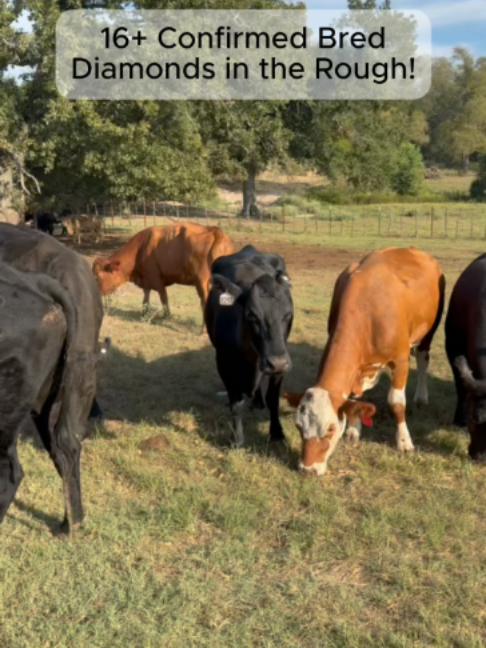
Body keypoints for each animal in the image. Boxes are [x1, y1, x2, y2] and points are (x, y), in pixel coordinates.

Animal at [92, 223, 234, 319]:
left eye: (97, 276)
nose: (95, 295)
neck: (141, 249)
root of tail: (213, 230)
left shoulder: (157, 280)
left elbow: (164, 299)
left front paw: (167, 317)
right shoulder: (147, 280)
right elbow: (146, 298)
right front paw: (144, 313)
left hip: (202, 282)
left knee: (205, 302)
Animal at [205, 245, 293, 446]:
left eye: (288, 314)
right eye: (251, 315)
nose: (276, 362)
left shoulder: (281, 362)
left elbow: (273, 399)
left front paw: (277, 433)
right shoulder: (223, 363)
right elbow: (236, 403)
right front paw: (237, 439)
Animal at [284, 247, 445, 476]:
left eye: (330, 429)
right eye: (299, 427)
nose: (307, 469)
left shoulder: (400, 360)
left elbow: (396, 404)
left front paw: (404, 441)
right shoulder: (356, 369)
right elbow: (354, 402)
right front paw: (353, 430)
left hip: (429, 332)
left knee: (423, 360)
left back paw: (422, 396)